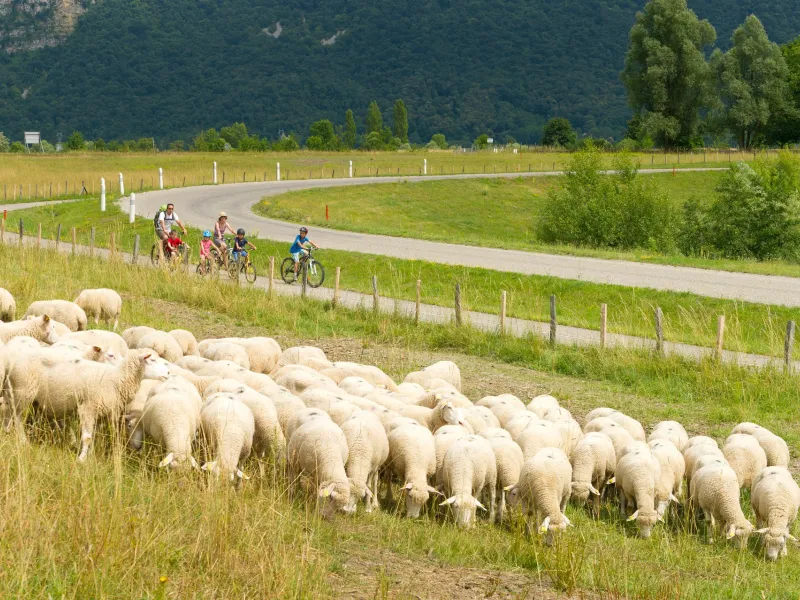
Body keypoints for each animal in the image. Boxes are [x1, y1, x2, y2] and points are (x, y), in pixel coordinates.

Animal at [5, 349, 169, 459]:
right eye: (152, 360)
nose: (168, 373)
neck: (116, 378)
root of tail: (12, 363)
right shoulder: (88, 407)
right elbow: (87, 437)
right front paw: (82, 459)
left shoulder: (100, 411)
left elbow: (93, 436)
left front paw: (90, 455)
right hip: (23, 391)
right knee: (17, 417)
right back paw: (22, 441)